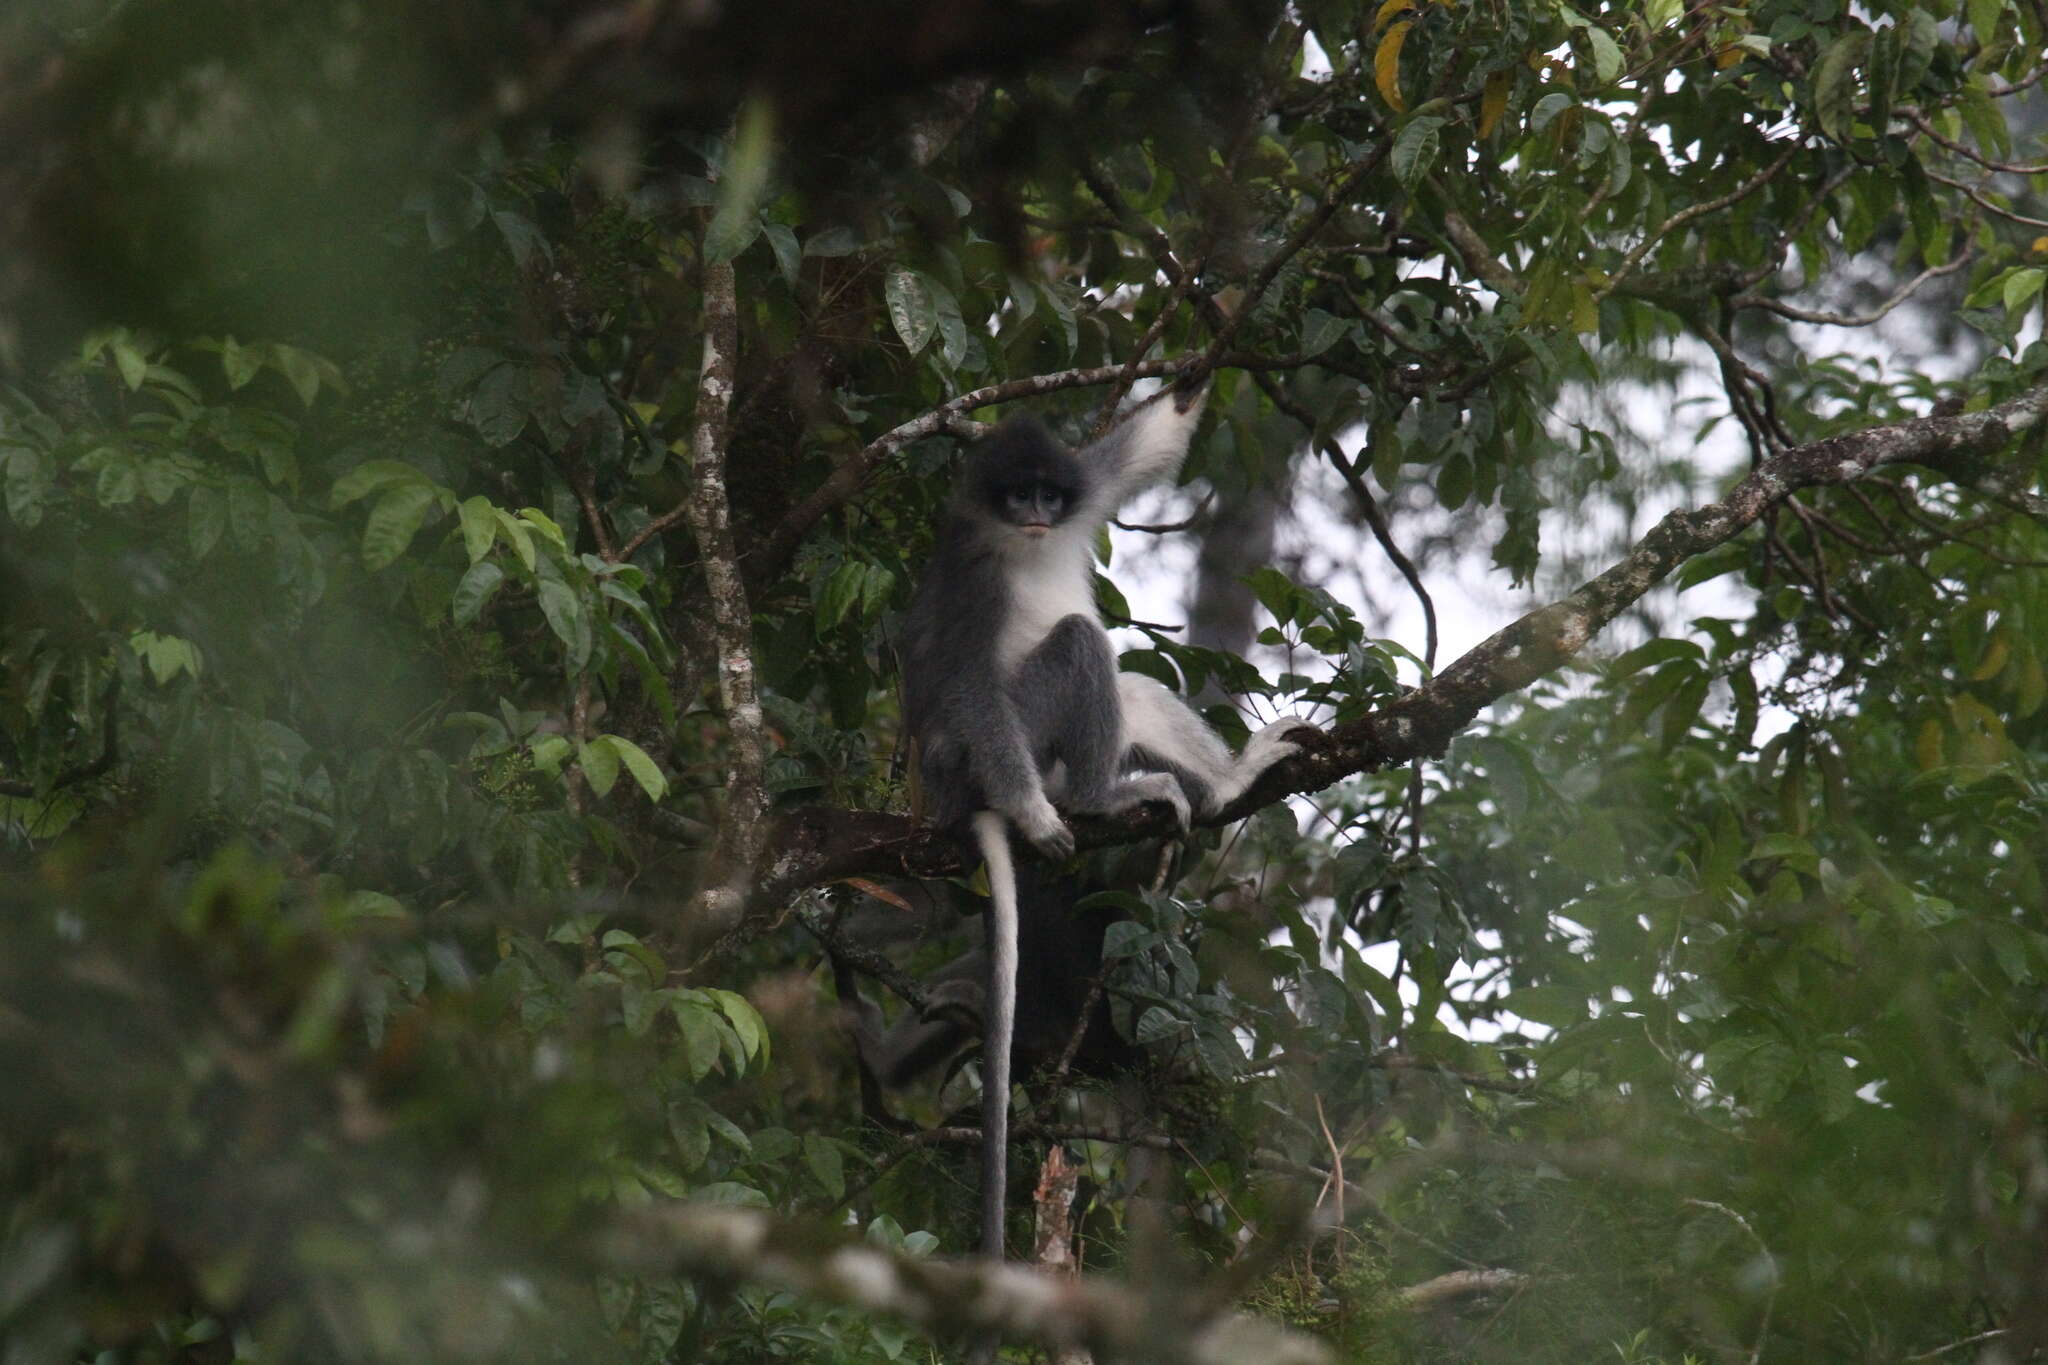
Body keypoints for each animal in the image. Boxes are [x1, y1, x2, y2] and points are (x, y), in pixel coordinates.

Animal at [901, 386, 1310, 1260]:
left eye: (1047, 496)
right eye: (1015, 495)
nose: (1035, 516)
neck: (1022, 547)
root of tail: (955, 797)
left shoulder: (1085, 489)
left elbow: (1149, 446)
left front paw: (1199, 371)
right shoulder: (972, 578)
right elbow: (968, 686)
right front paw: (1032, 815)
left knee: (1133, 686)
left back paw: (1226, 784)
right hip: (1006, 749)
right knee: (1081, 645)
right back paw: (1090, 802)